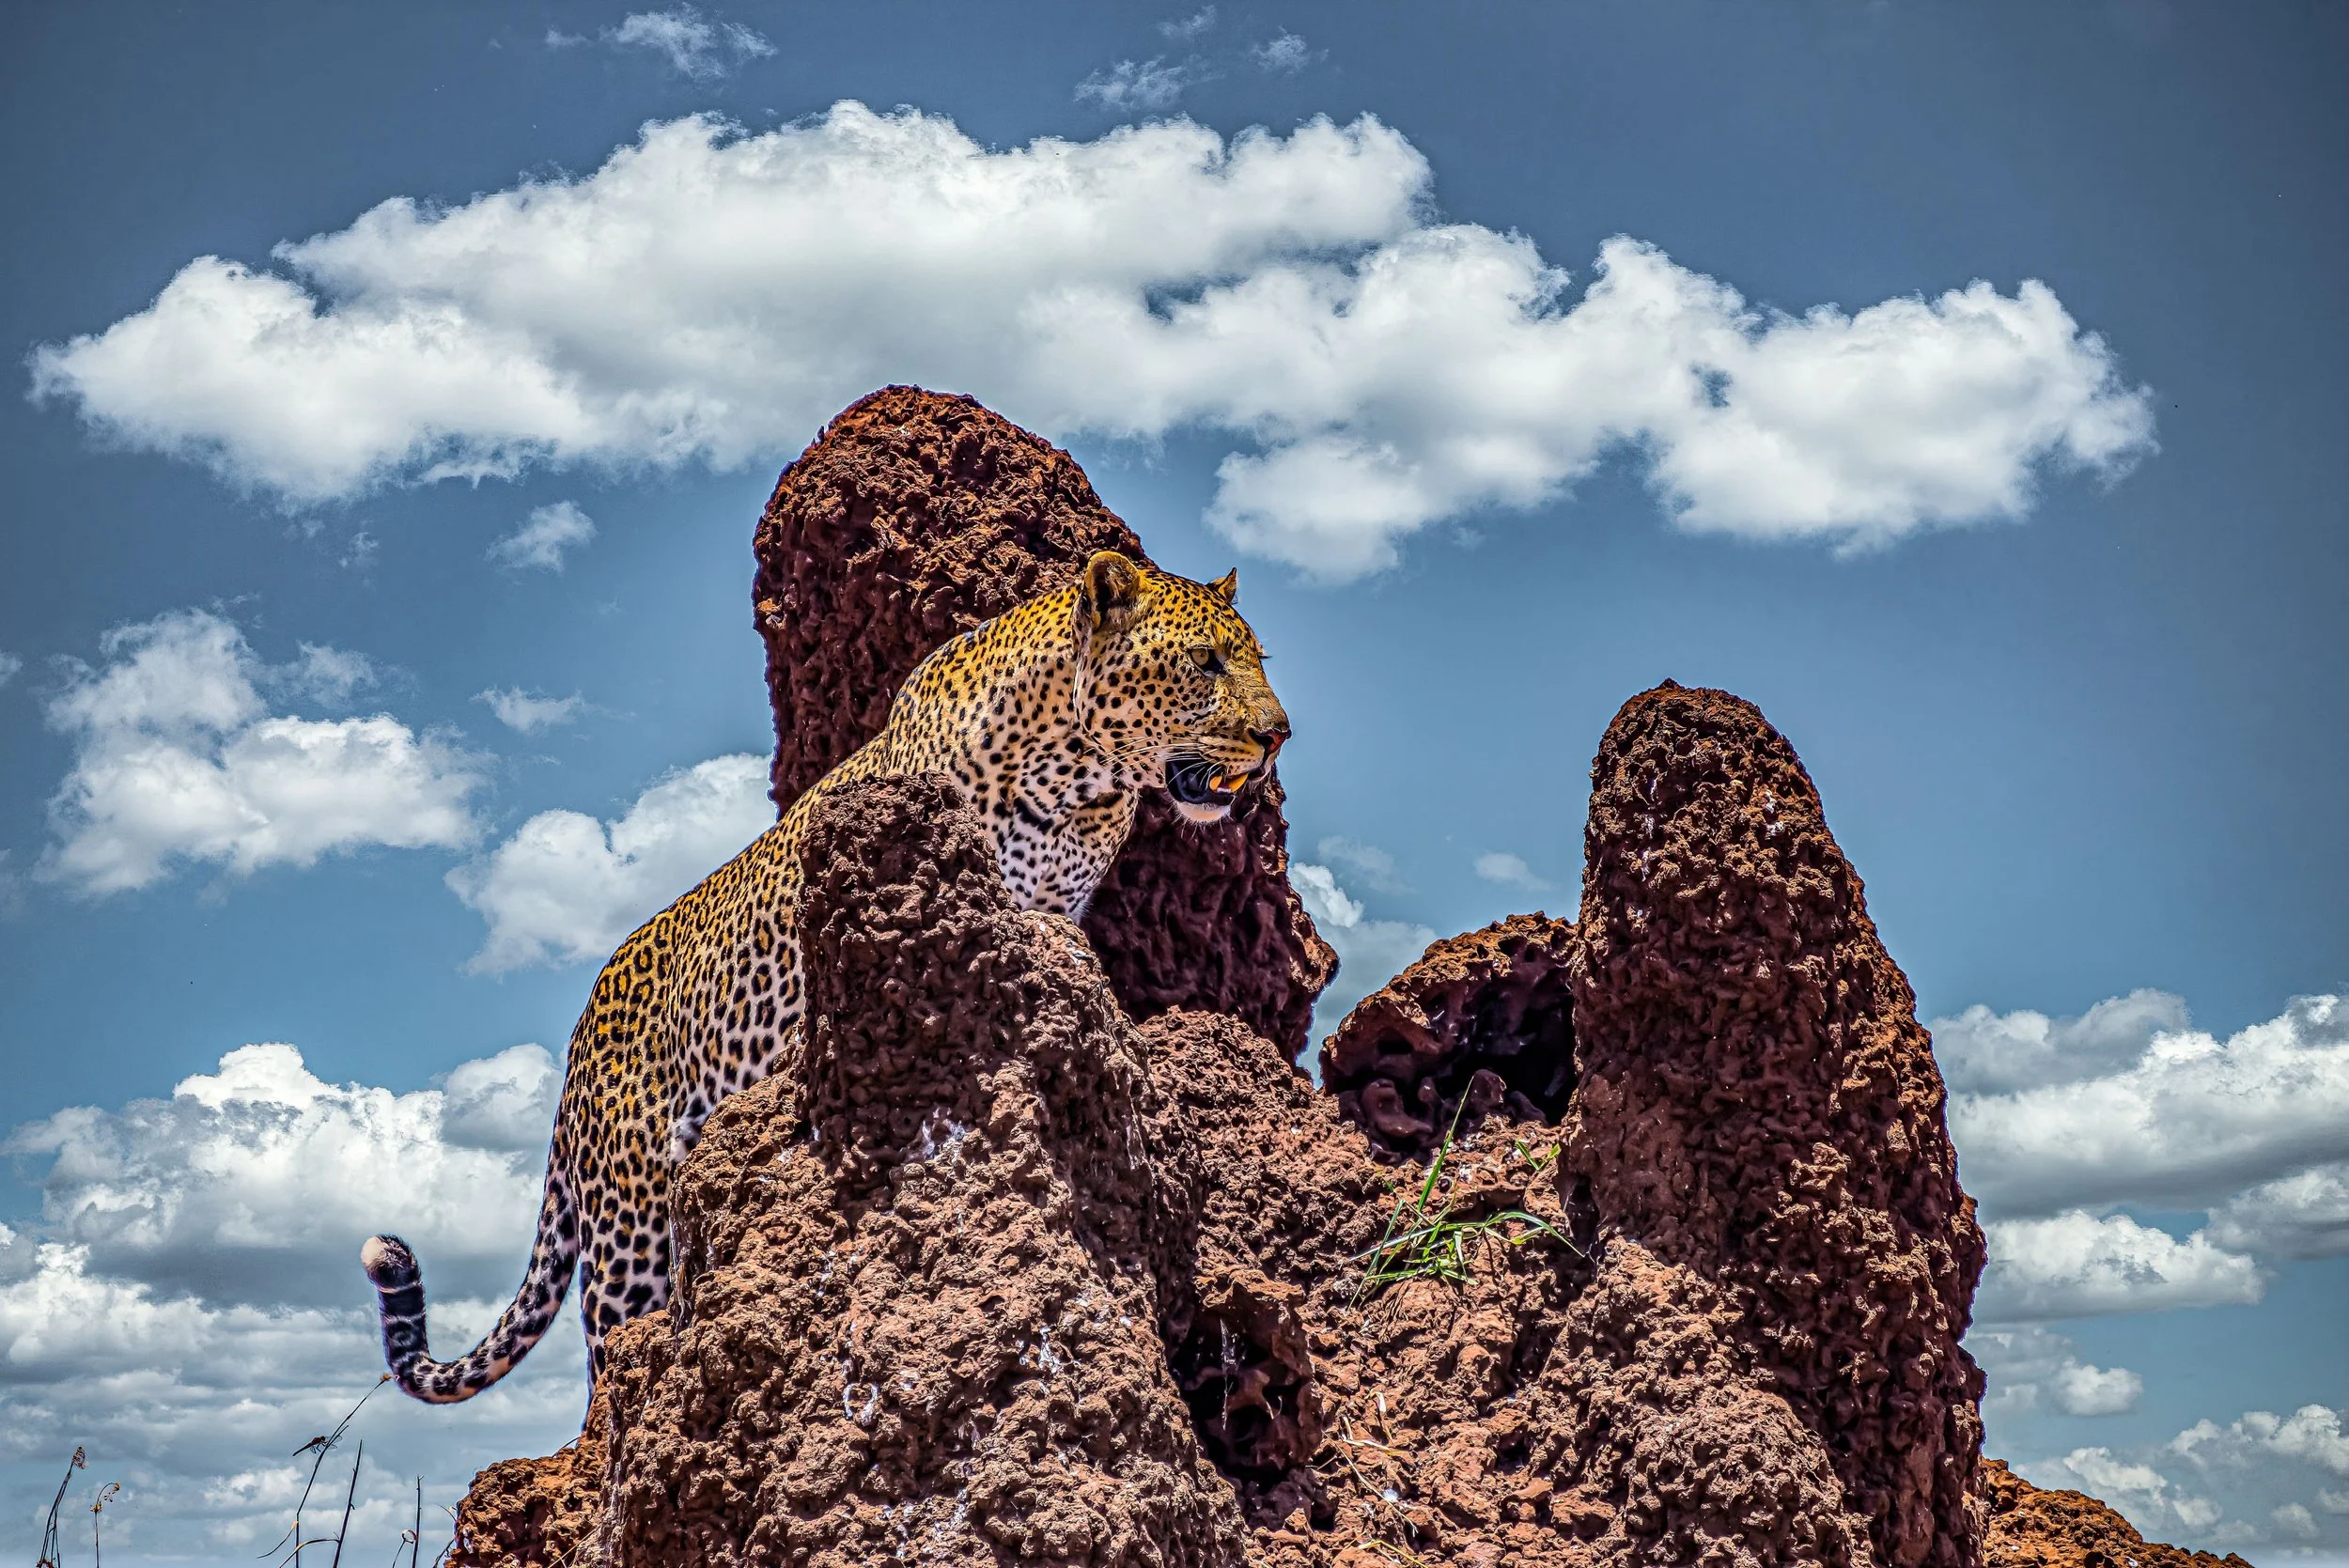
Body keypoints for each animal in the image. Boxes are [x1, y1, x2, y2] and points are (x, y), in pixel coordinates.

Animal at [361, 551, 1289, 1402]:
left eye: (1255, 657)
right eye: (1206, 661)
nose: (1278, 733)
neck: (1077, 776)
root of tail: (579, 1040)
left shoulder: (1052, 911)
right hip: (630, 1231)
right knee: (613, 1361)